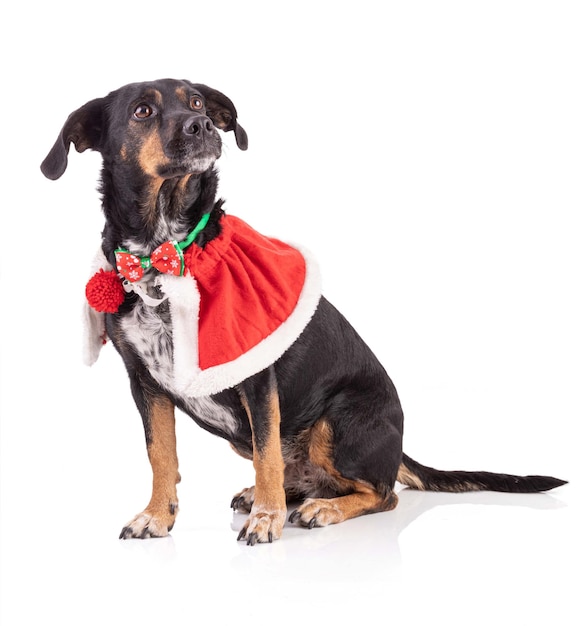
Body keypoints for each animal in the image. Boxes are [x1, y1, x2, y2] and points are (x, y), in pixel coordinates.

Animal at [41, 80, 564, 544]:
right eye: (142, 111)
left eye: (196, 101)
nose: (202, 125)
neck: (166, 253)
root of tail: (397, 445)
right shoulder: (144, 381)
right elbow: (161, 455)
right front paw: (157, 516)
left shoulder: (256, 375)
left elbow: (267, 453)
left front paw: (266, 520)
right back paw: (278, 495)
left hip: (340, 418)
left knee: (383, 492)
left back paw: (319, 507)